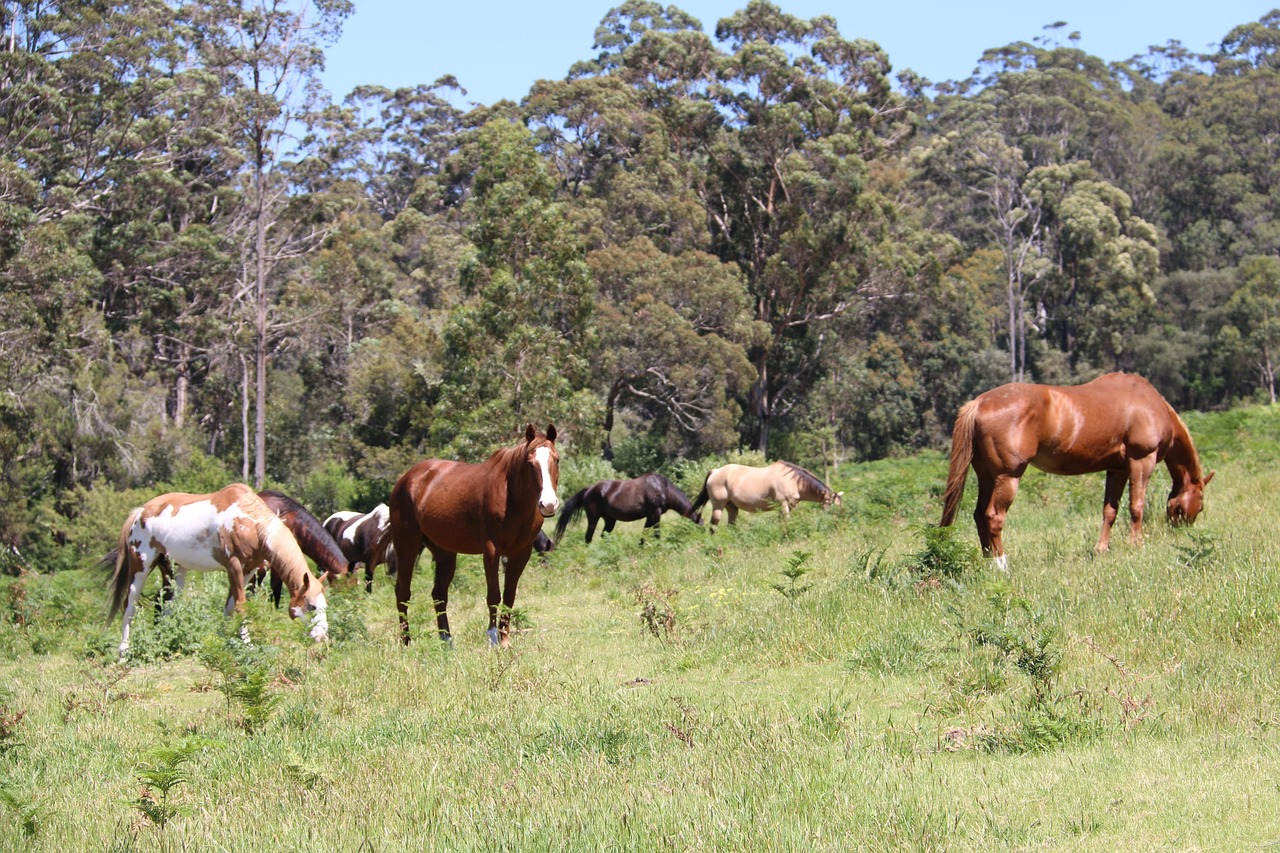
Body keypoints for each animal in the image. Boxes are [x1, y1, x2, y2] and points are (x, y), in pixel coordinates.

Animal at [108, 484, 328, 658]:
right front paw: (247, 644)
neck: (249, 522)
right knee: (130, 605)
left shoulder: (248, 570)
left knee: (166, 604)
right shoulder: (234, 566)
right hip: (141, 565)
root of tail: (140, 511)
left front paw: (223, 638)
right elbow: (240, 606)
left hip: (174, 569)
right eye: (312, 606)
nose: (322, 637)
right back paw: (123, 651)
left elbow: (230, 606)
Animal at [369, 424, 559, 647]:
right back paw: (406, 642)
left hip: (444, 553)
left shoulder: (521, 553)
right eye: (530, 463)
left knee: (439, 593)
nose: (548, 504)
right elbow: (494, 595)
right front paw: (493, 638)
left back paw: (446, 641)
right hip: (407, 546)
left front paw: (505, 641)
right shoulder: (491, 550)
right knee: (402, 592)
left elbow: (509, 596)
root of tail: (406, 479)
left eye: (556, 459)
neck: (511, 499)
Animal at [553, 473, 701, 544]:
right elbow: (656, 534)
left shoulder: (650, 516)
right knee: (588, 537)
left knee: (604, 536)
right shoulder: (655, 513)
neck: (663, 488)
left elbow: (644, 535)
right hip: (593, 519)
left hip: (610, 520)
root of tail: (588, 490)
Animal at [689, 461, 842, 529]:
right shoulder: (783, 504)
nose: (837, 521)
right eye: (830, 504)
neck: (792, 480)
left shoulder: (786, 507)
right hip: (718, 506)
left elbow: (783, 522)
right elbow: (787, 521)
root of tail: (715, 471)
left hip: (732, 507)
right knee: (713, 525)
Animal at [940, 372, 1214, 568]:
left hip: (987, 476)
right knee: (993, 517)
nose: (1182, 529)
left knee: (978, 516)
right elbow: (1137, 506)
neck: (1150, 404)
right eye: (1200, 506)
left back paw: (988, 562)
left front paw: (1101, 549)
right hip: (1007, 476)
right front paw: (1136, 544)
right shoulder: (1140, 461)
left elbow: (1110, 511)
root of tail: (979, 403)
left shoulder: (1117, 469)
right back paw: (1001, 564)